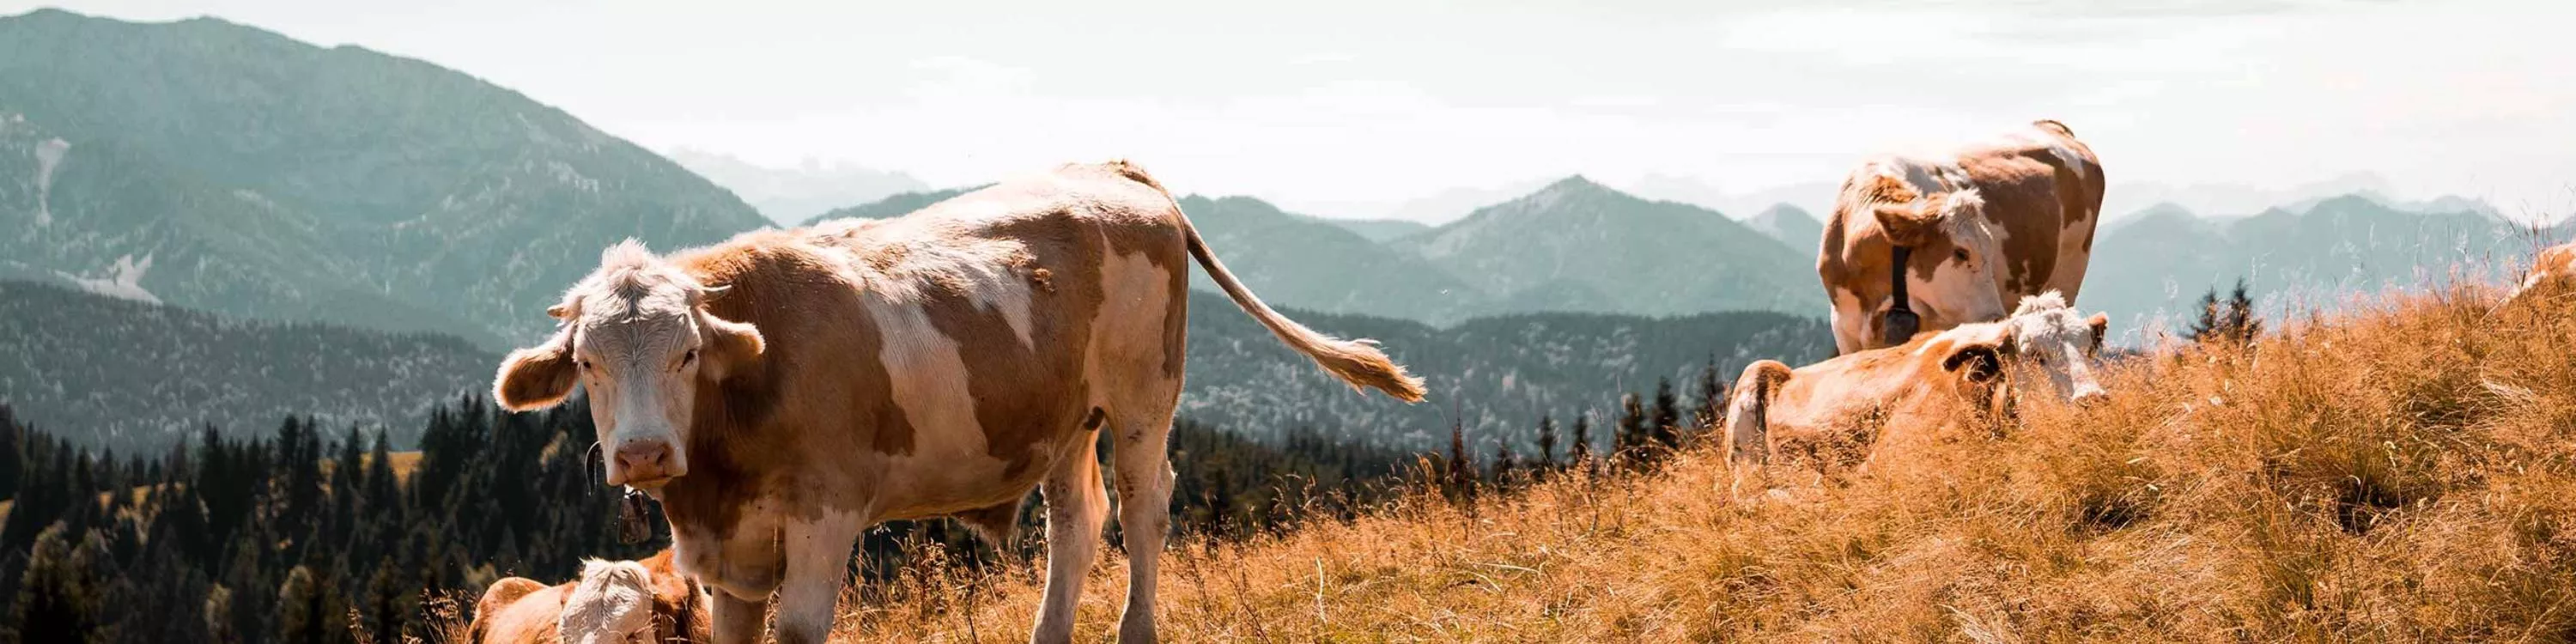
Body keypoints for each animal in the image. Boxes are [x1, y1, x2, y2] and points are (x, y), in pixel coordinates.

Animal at [1824, 118, 2102, 355]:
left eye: (1990, 250)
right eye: (1961, 252)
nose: (1995, 318)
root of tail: (2051, 127)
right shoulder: (1844, 329)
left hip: (2070, 272)